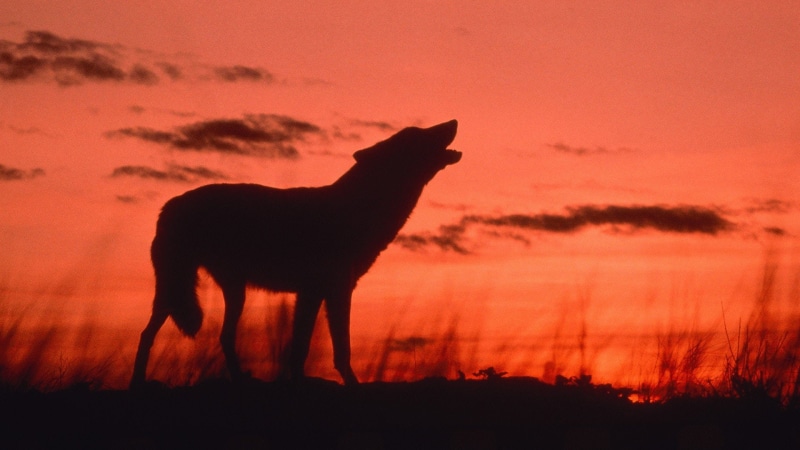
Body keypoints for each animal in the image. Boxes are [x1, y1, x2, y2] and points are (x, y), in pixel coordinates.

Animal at [130, 120, 461, 387]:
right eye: (418, 134)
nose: (454, 121)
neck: (359, 209)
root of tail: (168, 206)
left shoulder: (314, 293)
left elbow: (301, 349)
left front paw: (301, 381)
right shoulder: (333, 290)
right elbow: (337, 348)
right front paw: (349, 383)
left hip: (220, 293)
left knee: (211, 336)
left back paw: (237, 381)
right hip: (186, 292)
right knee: (152, 335)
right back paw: (139, 384)